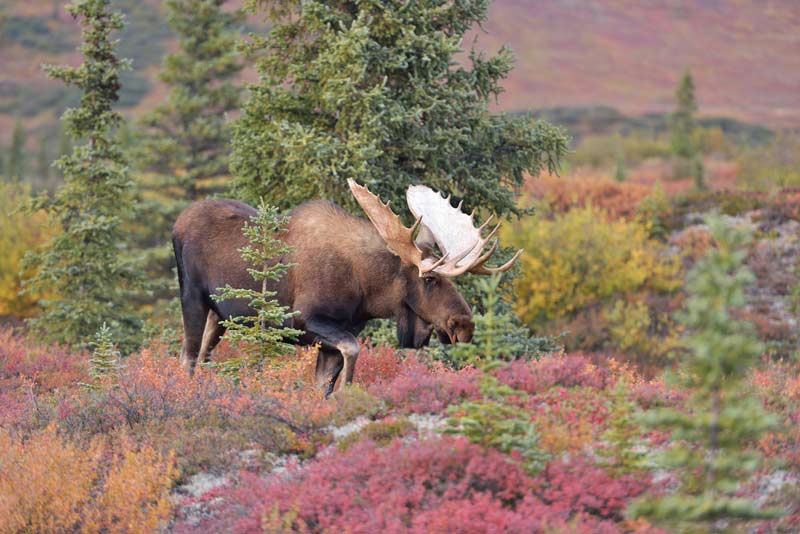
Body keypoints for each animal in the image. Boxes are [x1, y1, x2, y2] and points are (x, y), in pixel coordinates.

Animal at [172, 182, 520, 396]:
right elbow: (353, 351)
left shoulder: (339, 333)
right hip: (192, 296)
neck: (365, 291)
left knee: (203, 354)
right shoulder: (306, 319)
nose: (464, 325)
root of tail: (177, 222)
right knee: (188, 356)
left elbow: (324, 383)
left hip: (221, 314)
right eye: (429, 279)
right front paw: (346, 393)